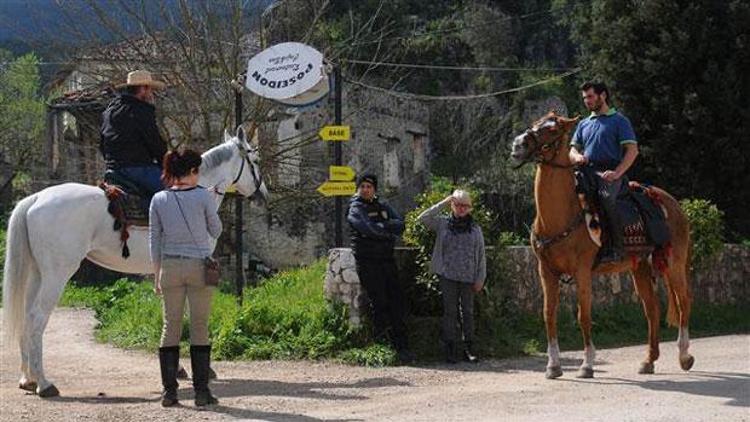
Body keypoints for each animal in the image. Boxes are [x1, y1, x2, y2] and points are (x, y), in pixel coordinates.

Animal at [1, 127, 268, 398]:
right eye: (256, 161)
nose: (263, 195)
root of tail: (36, 198)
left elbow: (170, 314)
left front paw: (178, 368)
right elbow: (185, 313)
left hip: (37, 274)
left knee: (26, 316)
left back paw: (28, 379)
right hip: (56, 275)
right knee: (37, 318)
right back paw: (44, 383)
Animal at [508, 112, 696, 380]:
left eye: (552, 129)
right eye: (535, 124)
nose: (518, 145)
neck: (562, 215)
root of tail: (673, 204)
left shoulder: (582, 271)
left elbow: (583, 315)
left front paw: (587, 365)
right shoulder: (546, 271)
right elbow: (548, 315)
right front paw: (553, 366)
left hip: (674, 263)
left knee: (683, 302)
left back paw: (684, 356)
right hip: (640, 268)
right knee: (652, 310)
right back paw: (648, 360)